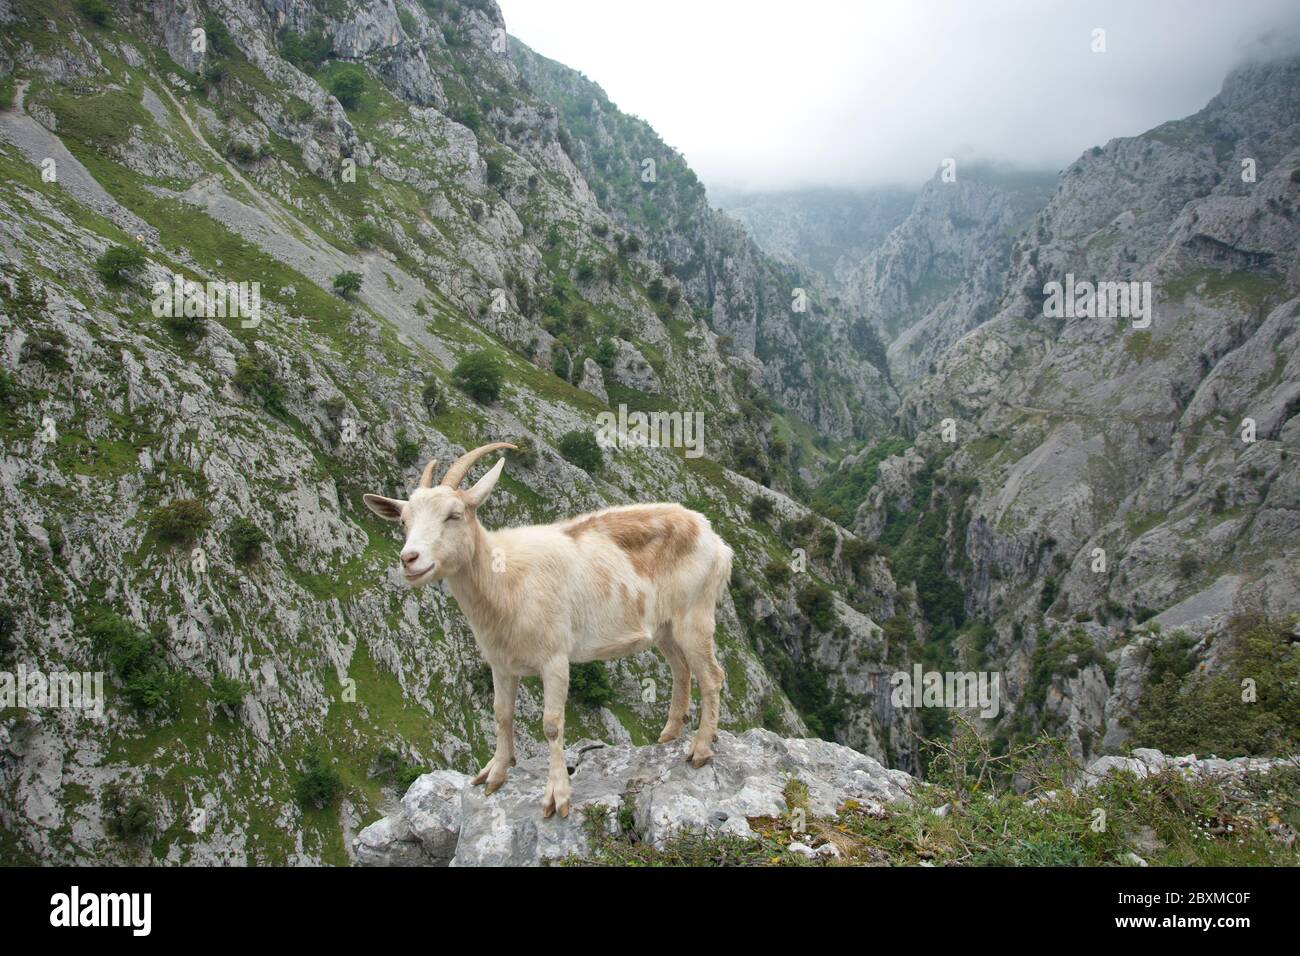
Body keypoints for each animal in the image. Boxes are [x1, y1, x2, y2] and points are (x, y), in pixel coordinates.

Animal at [366, 444, 733, 816]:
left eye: (454, 514)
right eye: (403, 521)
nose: (409, 559)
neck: (506, 580)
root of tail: (714, 538)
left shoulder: (555, 658)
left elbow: (552, 725)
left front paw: (557, 796)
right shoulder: (501, 663)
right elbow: (501, 714)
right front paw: (496, 773)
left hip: (695, 614)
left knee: (712, 676)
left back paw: (701, 749)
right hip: (664, 627)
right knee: (682, 669)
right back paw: (670, 733)